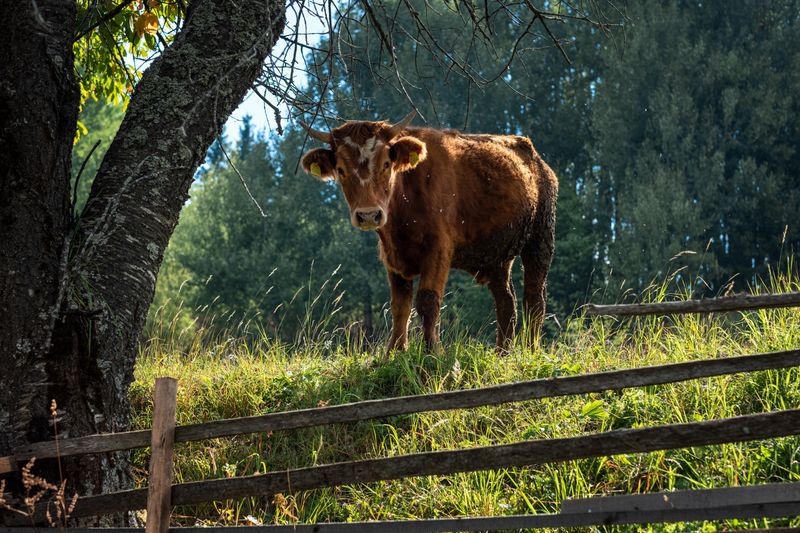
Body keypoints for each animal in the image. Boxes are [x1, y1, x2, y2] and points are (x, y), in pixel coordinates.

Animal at [300, 112, 557, 354]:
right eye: (341, 169)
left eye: (386, 164)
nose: (369, 215)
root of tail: (536, 159)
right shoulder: (392, 258)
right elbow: (400, 306)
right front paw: (394, 352)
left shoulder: (438, 251)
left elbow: (427, 301)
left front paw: (431, 352)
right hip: (497, 256)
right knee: (506, 301)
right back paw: (501, 353)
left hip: (540, 240)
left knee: (534, 299)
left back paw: (531, 350)